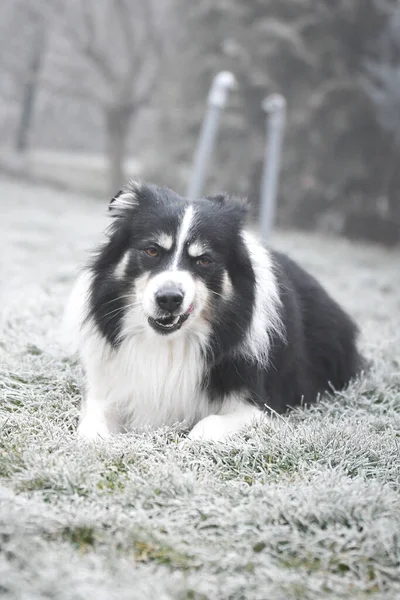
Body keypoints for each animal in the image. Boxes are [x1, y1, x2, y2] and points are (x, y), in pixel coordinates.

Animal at [65, 179, 362, 440]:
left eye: (204, 260)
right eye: (151, 251)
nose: (169, 299)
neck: (169, 344)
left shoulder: (262, 405)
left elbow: (205, 427)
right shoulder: (111, 386)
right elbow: (93, 422)